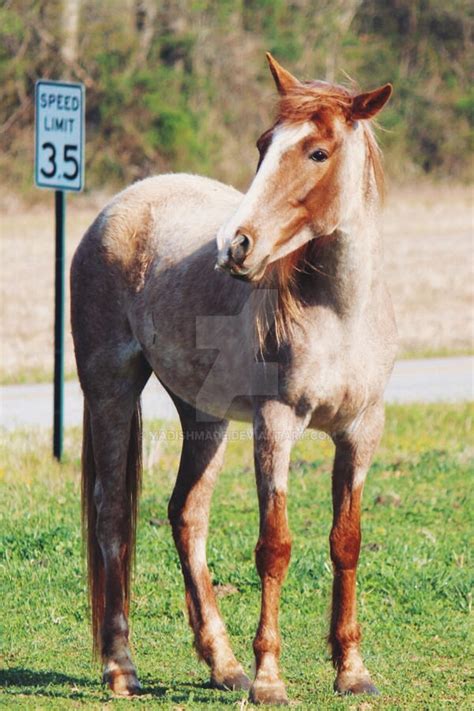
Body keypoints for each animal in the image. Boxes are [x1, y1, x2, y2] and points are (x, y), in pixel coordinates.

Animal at [71, 53, 397, 705]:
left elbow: (345, 541)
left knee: (186, 515)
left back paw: (223, 665)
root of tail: (119, 207)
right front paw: (270, 678)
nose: (235, 247)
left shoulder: (361, 431)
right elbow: (275, 546)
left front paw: (351, 670)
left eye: (317, 152)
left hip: (204, 416)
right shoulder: (275, 425)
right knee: (112, 513)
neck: (340, 314)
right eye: (264, 143)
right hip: (110, 389)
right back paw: (121, 668)